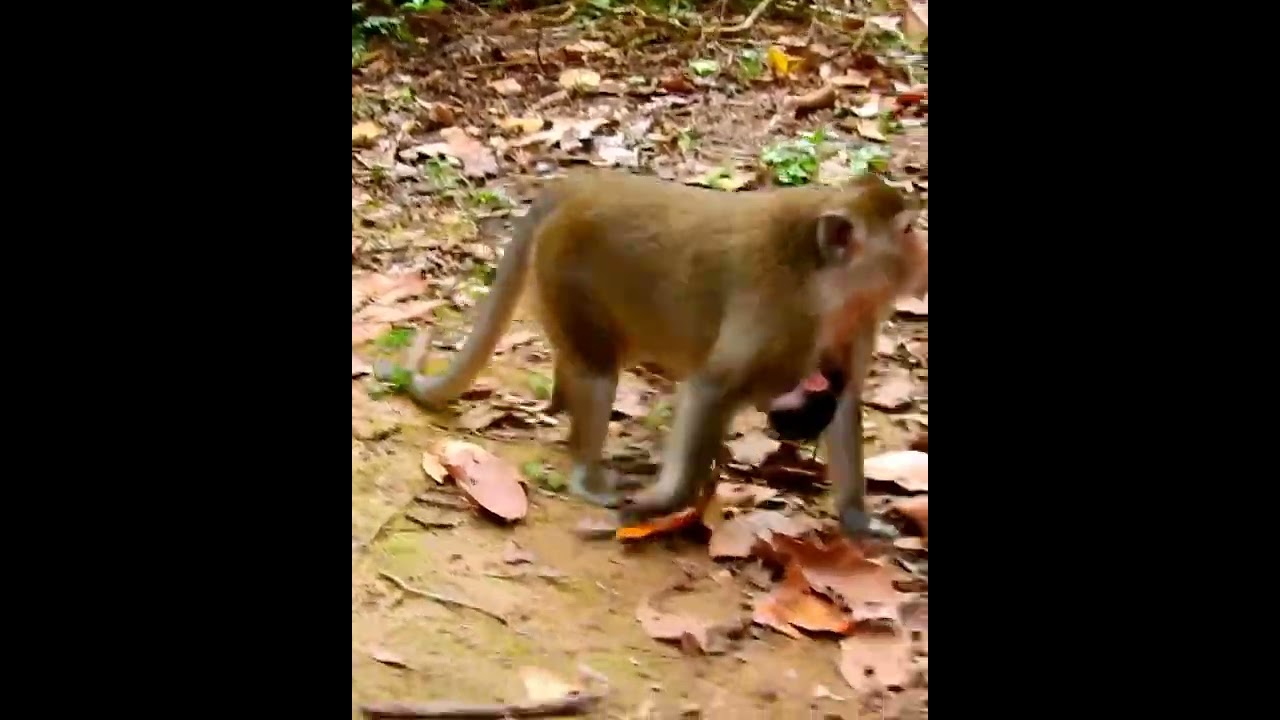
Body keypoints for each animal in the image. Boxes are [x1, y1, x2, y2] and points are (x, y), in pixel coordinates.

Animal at [374, 169, 927, 539]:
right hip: (565, 266)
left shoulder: (854, 322)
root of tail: (581, 184)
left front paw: (857, 518)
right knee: (599, 372)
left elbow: (844, 399)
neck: (826, 285)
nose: (923, 254)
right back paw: (586, 468)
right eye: (905, 231)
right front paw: (663, 502)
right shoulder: (777, 312)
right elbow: (711, 388)